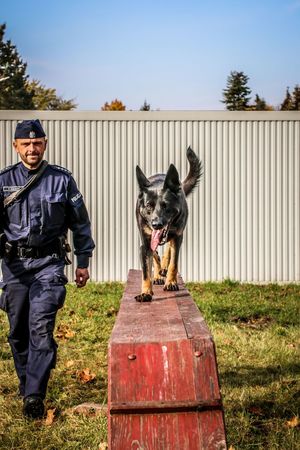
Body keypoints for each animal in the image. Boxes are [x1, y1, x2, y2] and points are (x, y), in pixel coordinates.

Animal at [135, 148, 202, 302]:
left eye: (166, 206)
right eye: (149, 205)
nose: (156, 224)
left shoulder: (178, 236)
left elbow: (174, 263)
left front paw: (171, 282)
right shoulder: (145, 243)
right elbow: (146, 271)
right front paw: (146, 292)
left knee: (169, 250)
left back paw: (164, 268)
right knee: (156, 255)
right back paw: (158, 274)